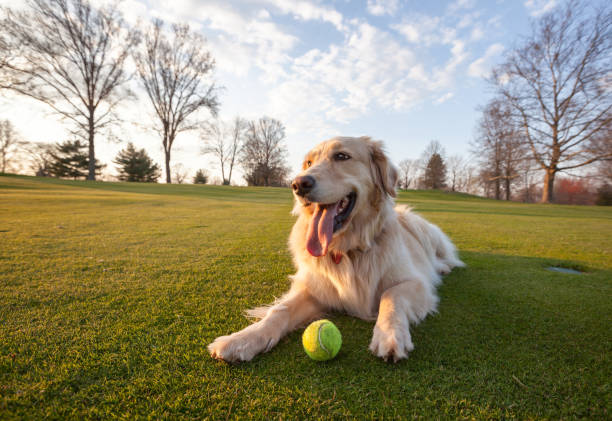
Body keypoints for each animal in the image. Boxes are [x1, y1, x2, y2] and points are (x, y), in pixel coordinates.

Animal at [207, 137, 464, 360]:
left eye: (342, 156)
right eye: (308, 163)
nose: (298, 184)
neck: (347, 249)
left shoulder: (416, 283)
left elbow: (391, 296)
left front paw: (390, 335)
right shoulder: (315, 288)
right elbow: (279, 310)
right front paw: (243, 339)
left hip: (421, 228)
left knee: (445, 257)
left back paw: (443, 267)